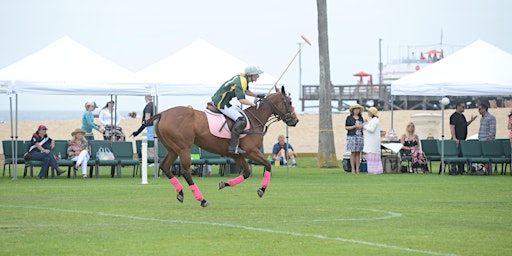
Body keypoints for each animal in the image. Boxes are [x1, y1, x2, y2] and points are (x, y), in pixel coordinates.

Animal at [142, 87, 298, 207]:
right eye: (289, 102)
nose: (295, 120)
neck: (255, 119)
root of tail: (162, 114)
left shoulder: (237, 155)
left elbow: (247, 172)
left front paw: (223, 184)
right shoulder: (251, 152)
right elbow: (268, 165)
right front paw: (262, 189)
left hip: (172, 149)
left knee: (165, 166)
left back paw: (180, 193)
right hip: (183, 148)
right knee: (186, 172)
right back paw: (202, 200)